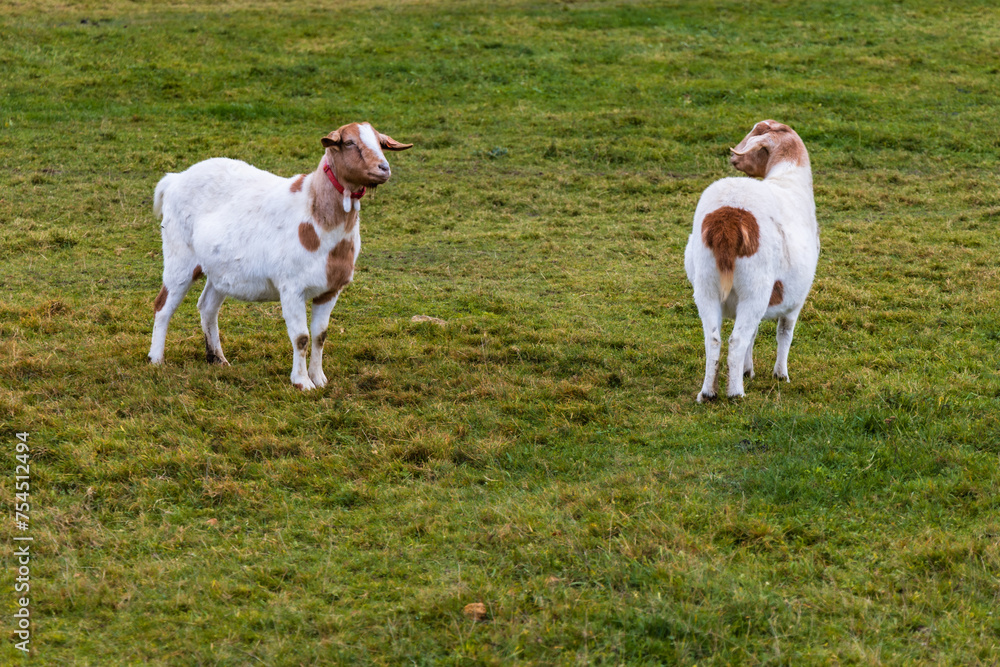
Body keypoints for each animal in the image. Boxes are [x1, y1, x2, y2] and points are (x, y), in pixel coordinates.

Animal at [146, 122, 412, 388]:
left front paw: (319, 379)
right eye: (349, 143)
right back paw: (156, 360)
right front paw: (302, 383)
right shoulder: (291, 287)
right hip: (179, 254)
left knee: (207, 307)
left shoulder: (330, 289)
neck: (317, 218)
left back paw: (218, 359)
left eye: (380, 143)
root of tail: (174, 179)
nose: (383, 168)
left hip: (219, 269)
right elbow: (301, 338)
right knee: (163, 306)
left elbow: (320, 336)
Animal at [688, 119, 820, 402]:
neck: (788, 177)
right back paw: (736, 393)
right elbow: (784, 334)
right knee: (736, 340)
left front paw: (748, 370)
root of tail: (728, 216)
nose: (733, 157)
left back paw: (708, 392)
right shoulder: (796, 300)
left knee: (713, 339)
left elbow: (755, 333)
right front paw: (781, 374)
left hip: (705, 285)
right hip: (755, 287)